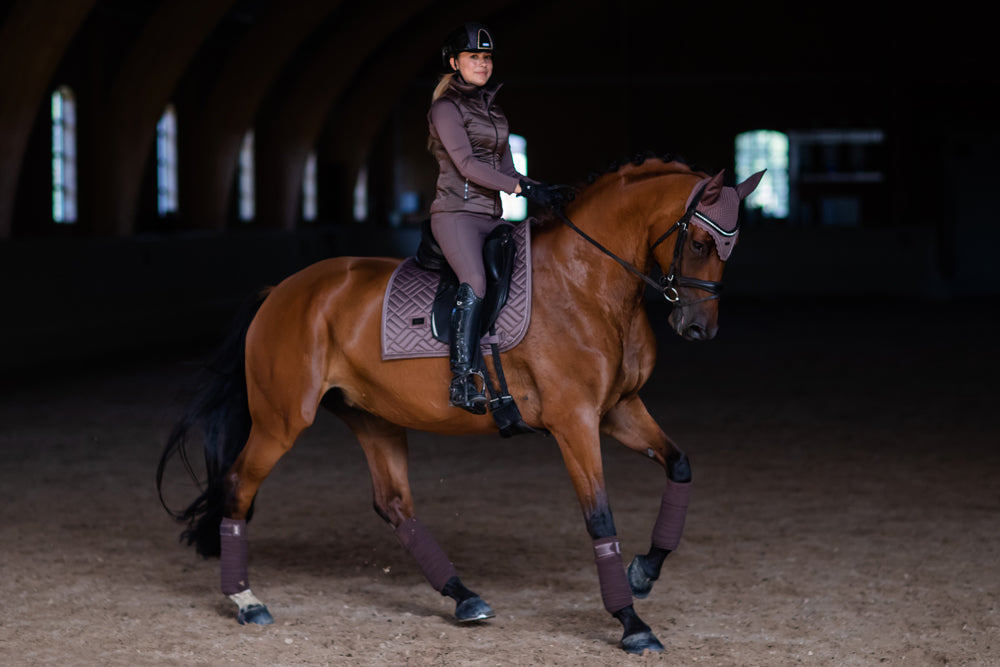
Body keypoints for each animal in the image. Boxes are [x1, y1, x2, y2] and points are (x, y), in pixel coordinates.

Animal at [158, 154, 764, 656]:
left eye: (732, 250)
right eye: (701, 245)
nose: (698, 328)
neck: (588, 282)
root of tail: (281, 290)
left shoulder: (619, 409)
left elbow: (680, 466)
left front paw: (644, 572)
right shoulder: (575, 421)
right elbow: (599, 518)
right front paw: (631, 623)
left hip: (373, 416)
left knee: (394, 504)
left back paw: (463, 597)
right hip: (282, 420)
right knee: (239, 485)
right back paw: (247, 601)